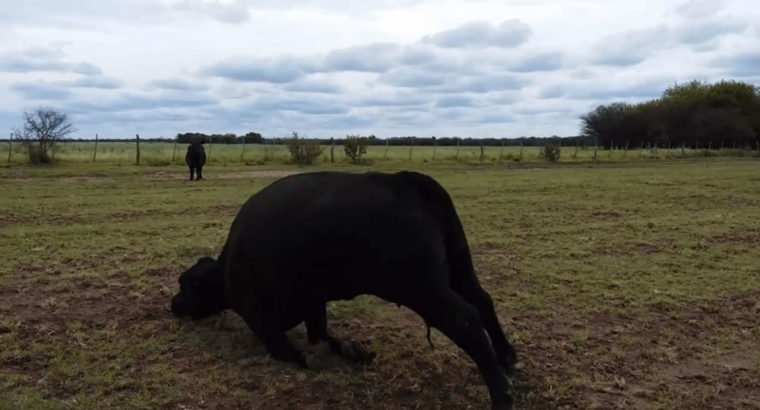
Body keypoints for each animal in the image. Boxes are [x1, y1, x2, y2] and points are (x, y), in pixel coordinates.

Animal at [171, 171, 516, 408]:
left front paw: (315, 359)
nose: (173, 304)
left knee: (466, 319)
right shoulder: (314, 302)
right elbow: (323, 335)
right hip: (459, 269)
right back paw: (507, 358)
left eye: (186, 283)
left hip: (423, 288)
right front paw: (354, 353)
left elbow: (284, 350)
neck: (227, 269)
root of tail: (406, 180)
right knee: (483, 301)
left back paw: (500, 395)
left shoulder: (258, 315)